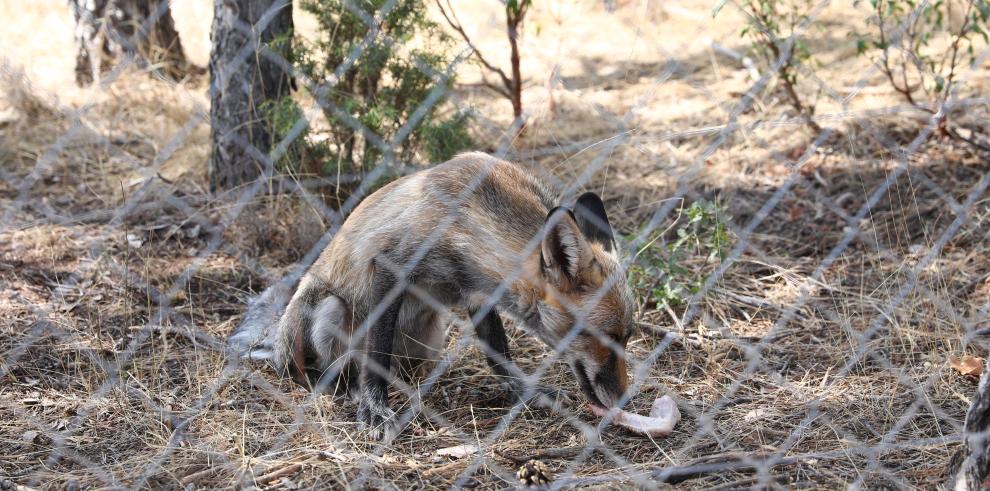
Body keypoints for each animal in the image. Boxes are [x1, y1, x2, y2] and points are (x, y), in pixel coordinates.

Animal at [231, 152, 636, 440]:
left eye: (627, 337)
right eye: (606, 337)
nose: (624, 400)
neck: (467, 217)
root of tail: (277, 345)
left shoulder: (477, 293)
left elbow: (499, 357)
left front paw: (526, 393)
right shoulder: (391, 267)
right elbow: (375, 357)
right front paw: (374, 409)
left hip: (432, 336)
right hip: (330, 310)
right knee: (315, 371)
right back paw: (341, 389)